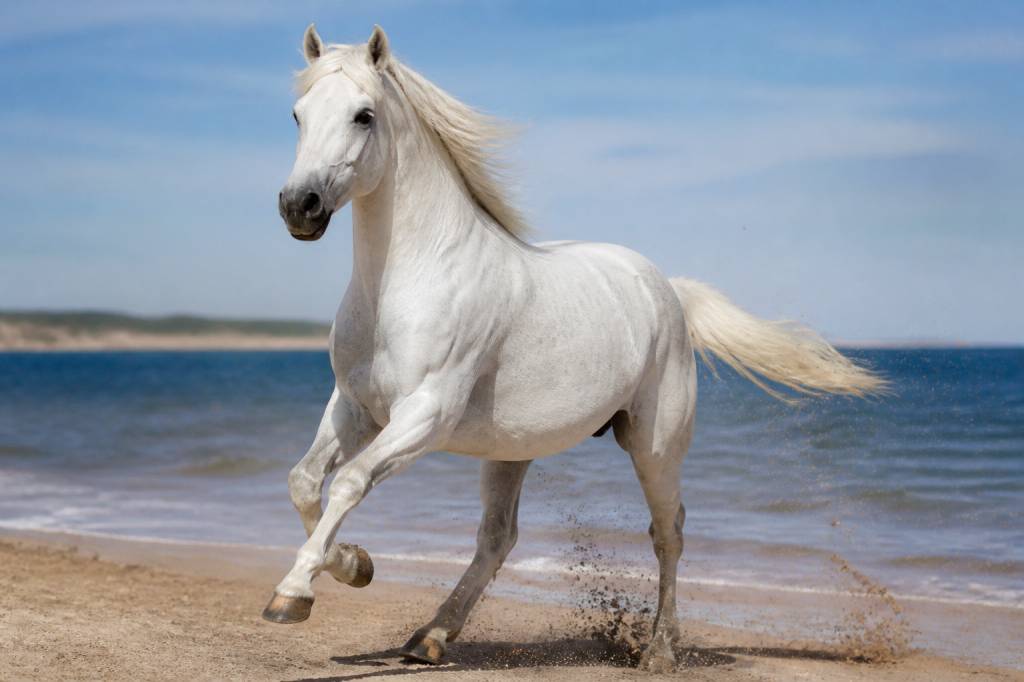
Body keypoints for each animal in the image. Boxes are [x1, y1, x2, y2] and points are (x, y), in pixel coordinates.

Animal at [264, 24, 886, 672]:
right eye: (298, 113)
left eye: (364, 115)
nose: (299, 206)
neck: (406, 283)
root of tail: (668, 289)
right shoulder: (355, 407)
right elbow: (305, 482)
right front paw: (354, 564)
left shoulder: (426, 414)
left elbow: (349, 482)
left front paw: (293, 594)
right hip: (510, 450)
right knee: (498, 538)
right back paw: (429, 637)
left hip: (654, 445)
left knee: (668, 533)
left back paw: (659, 651)